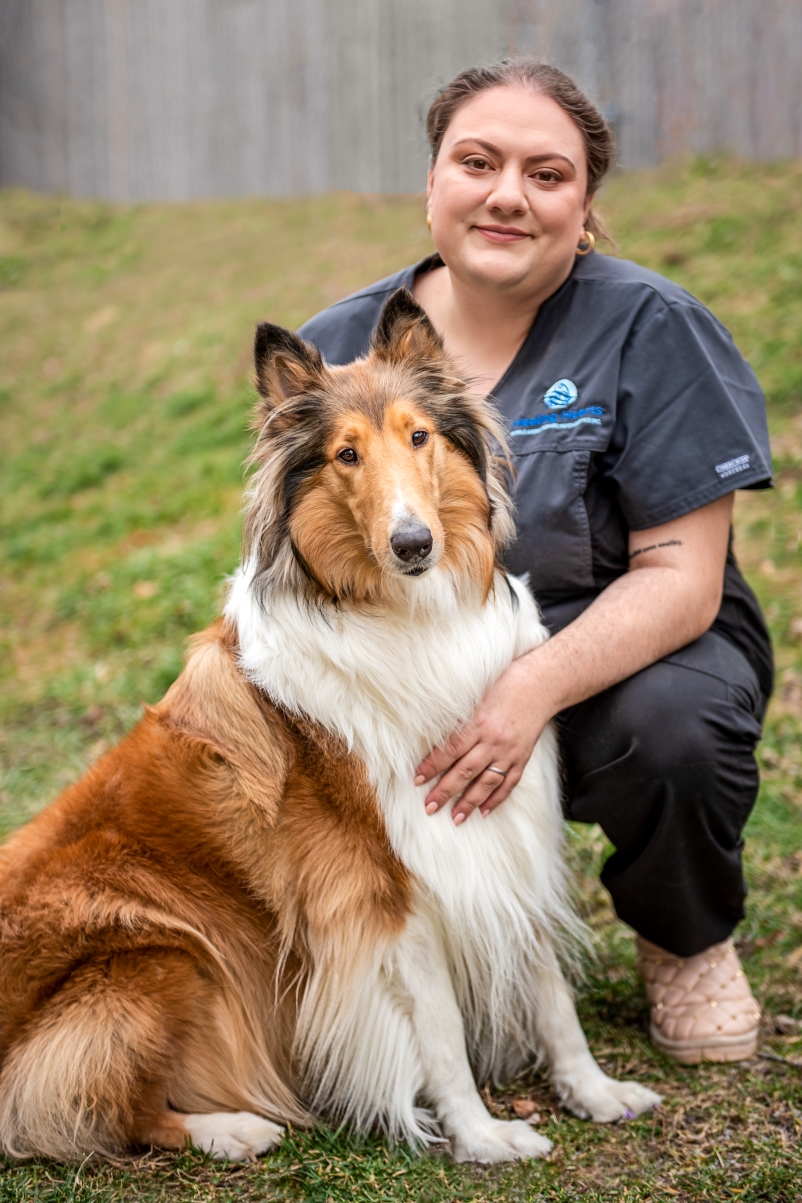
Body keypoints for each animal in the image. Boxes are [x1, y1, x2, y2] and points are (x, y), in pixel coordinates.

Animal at [0, 291, 658, 1164]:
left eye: (419, 436)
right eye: (346, 455)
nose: (412, 543)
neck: (407, 616)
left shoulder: (501, 830)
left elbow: (550, 988)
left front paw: (592, 1090)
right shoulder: (383, 884)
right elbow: (440, 1031)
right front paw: (481, 1136)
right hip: (163, 955)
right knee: (99, 1105)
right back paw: (234, 1127)